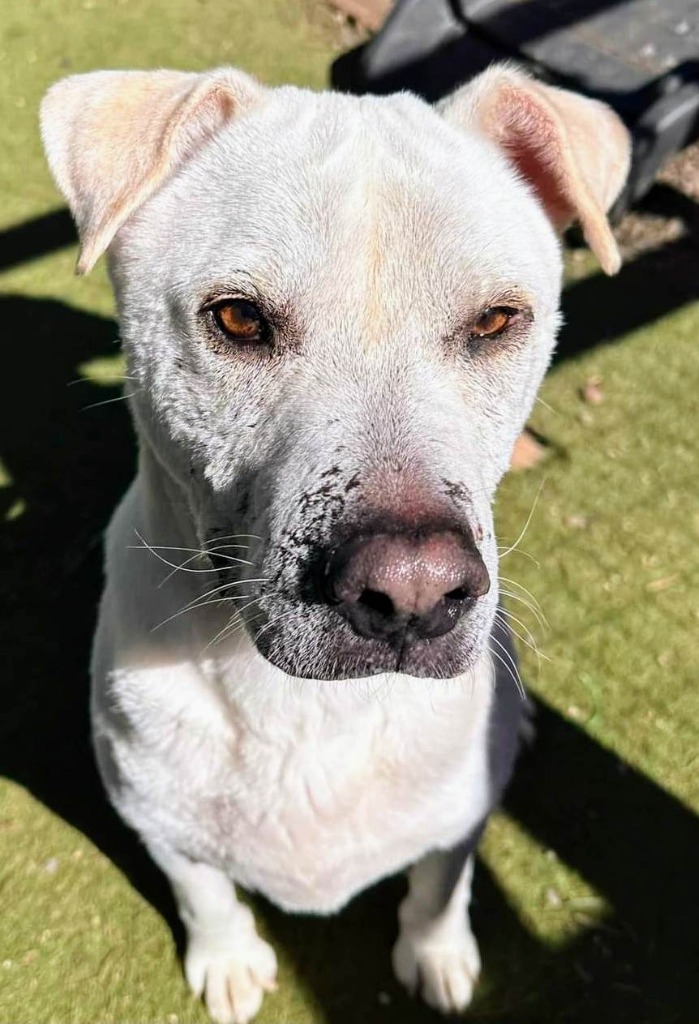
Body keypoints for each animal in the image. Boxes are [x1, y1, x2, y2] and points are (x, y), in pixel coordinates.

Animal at [40, 66, 630, 1024]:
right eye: (237, 319)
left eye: (495, 321)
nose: (414, 592)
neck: (304, 713)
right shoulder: (152, 816)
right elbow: (201, 889)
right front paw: (227, 959)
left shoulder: (458, 820)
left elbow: (439, 885)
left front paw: (435, 955)